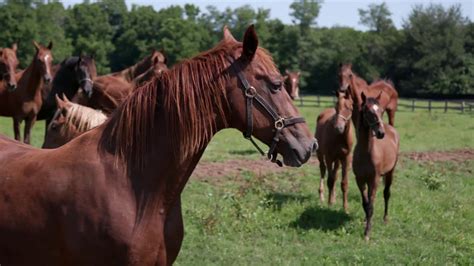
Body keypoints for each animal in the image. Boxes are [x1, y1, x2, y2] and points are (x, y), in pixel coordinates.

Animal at [352, 92, 400, 241]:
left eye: (381, 111)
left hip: (390, 173)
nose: (380, 133)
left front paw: (367, 233)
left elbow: (371, 206)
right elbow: (365, 203)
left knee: (386, 194)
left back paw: (385, 219)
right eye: (367, 111)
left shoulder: (374, 180)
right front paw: (366, 222)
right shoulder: (360, 179)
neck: (366, 153)